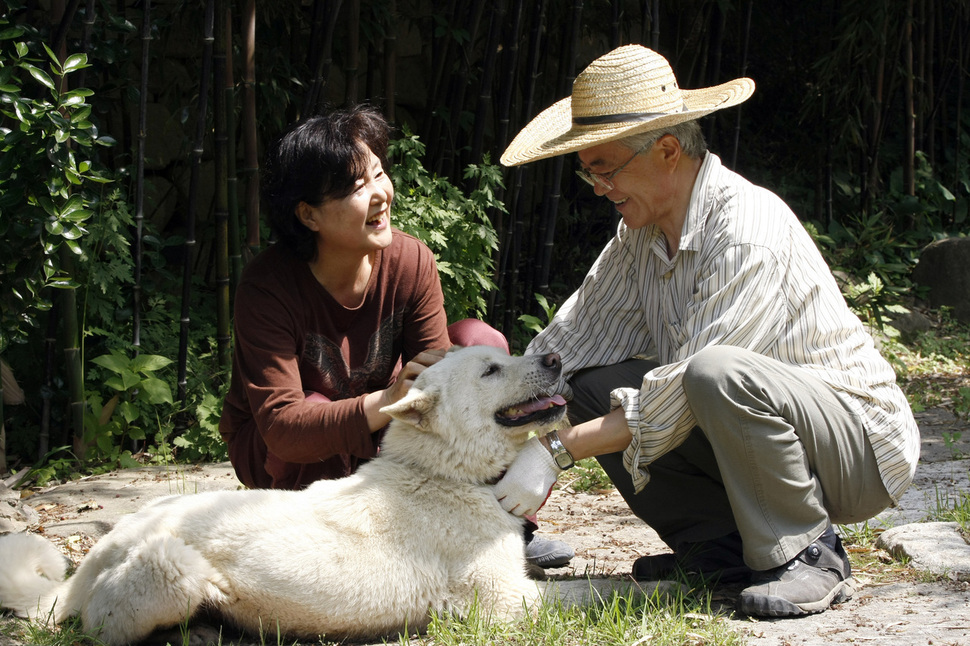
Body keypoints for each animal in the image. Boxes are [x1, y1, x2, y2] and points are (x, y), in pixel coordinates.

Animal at [0, 350, 568, 646]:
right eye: (491, 370)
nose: (554, 356)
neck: (443, 473)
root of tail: (94, 558)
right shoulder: (503, 604)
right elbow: (575, 596)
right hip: (171, 567)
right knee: (104, 631)